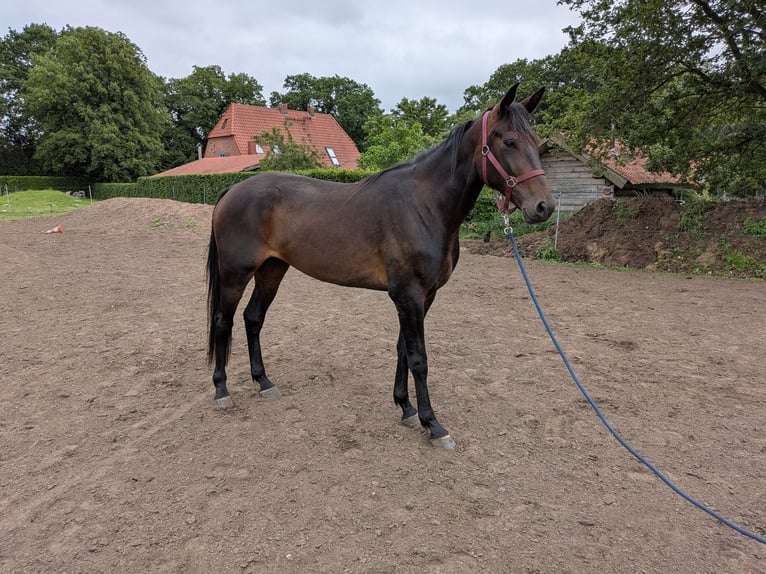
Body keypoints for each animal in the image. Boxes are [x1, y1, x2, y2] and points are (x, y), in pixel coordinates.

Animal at [206, 84, 555, 448]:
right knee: (223, 322)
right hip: (235, 274)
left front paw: (406, 408)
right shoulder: (409, 295)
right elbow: (419, 359)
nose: (543, 206)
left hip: (272, 270)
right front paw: (433, 424)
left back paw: (264, 382)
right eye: (510, 141)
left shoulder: (423, 297)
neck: (424, 205)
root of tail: (233, 189)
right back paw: (222, 390)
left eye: (535, 140)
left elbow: (403, 350)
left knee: (253, 318)